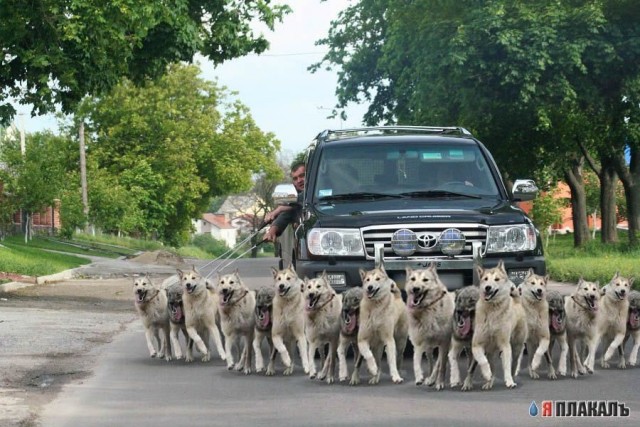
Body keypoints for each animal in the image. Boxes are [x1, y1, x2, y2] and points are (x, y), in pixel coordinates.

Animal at [470, 260, 520, 392]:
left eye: (496, 279)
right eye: (485, 279)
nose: (488, 287)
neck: (493, 310)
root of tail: (517, 302)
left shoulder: (505, 345)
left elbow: (506, 367)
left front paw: (509, 382)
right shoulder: (476, 345)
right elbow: (483, 361)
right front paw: (487, 374)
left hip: (516, 346)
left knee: (513, 363)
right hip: (491, 354)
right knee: (492, 366)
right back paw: (489, 382)